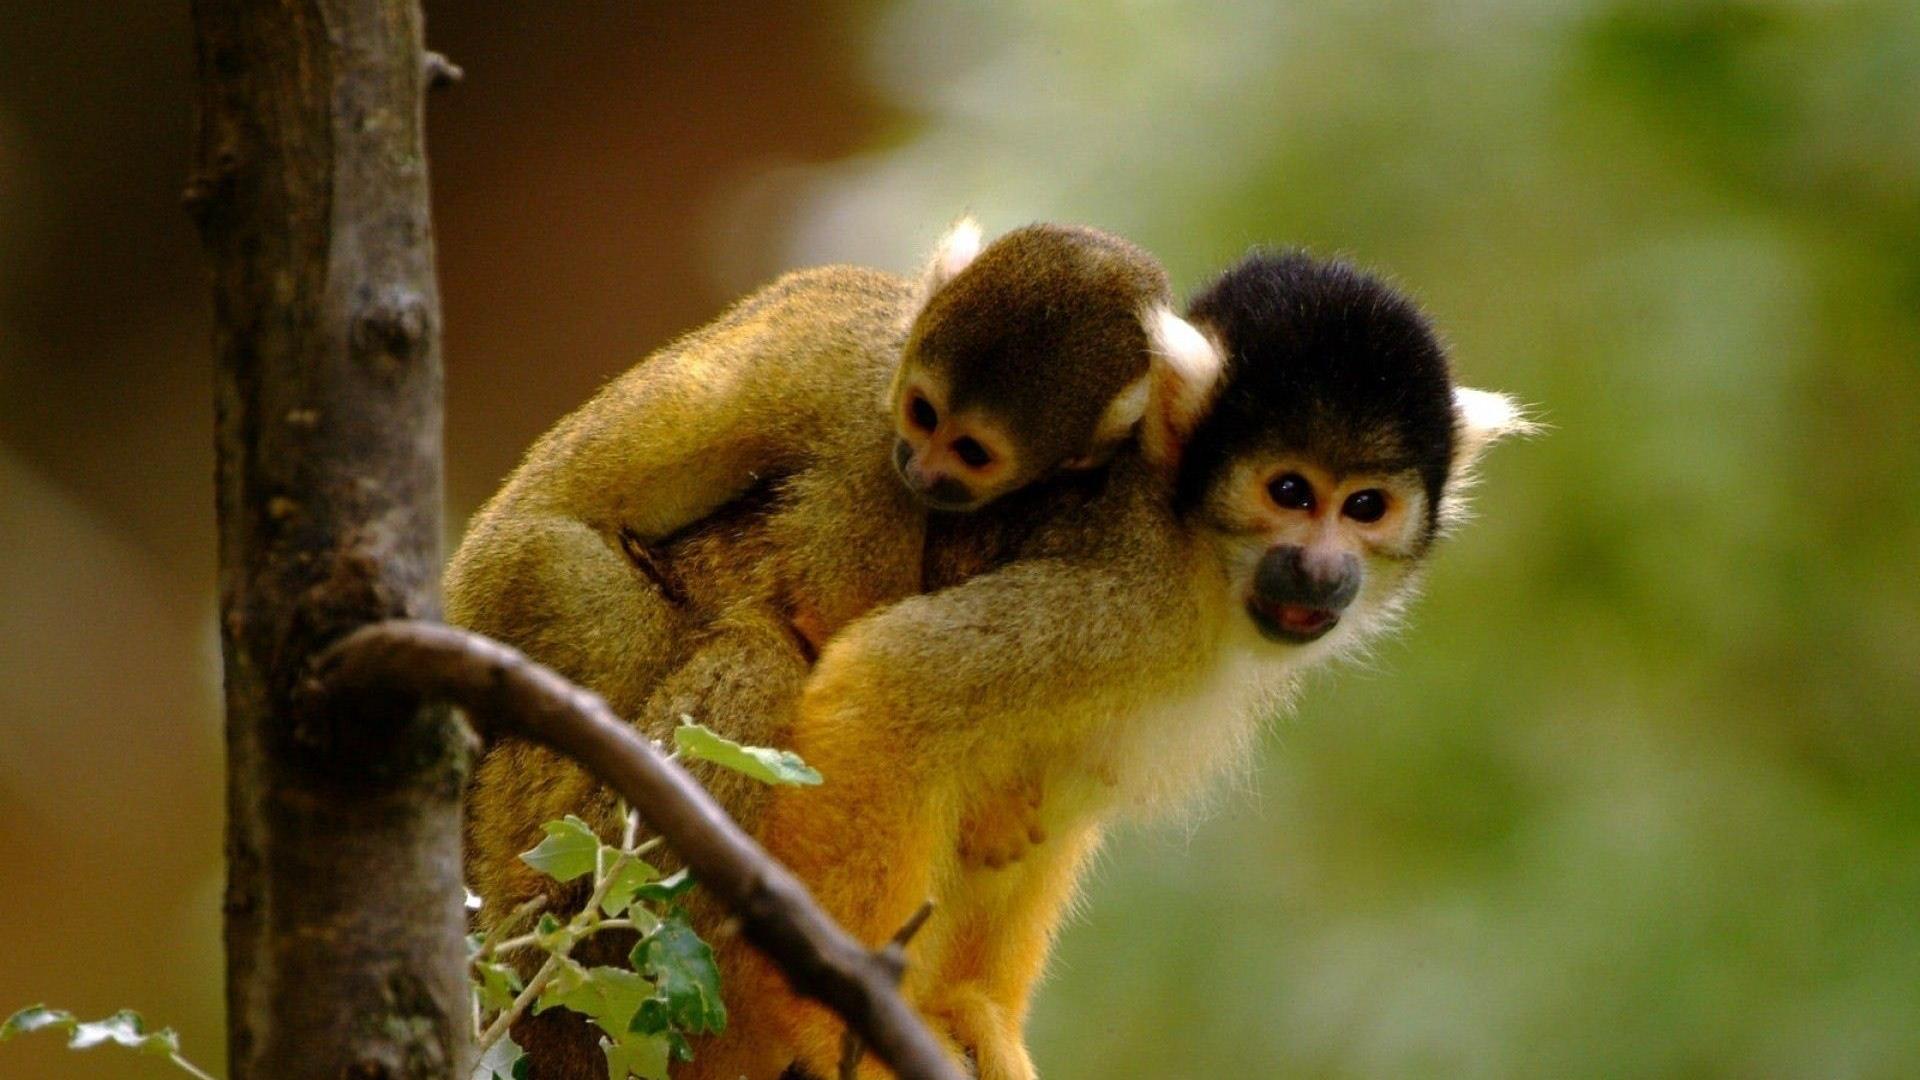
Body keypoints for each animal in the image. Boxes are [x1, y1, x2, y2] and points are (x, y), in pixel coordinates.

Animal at [445, 222, 1182, 1076]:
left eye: (972, 451)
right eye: (922, 414)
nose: (921, 464)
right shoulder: (868, 440)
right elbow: (844, 621)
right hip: (533, 602)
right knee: (732, 657)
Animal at [685, 251, 1531, 1080]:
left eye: (1364, 507)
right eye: (1290, 491)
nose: (1323, 571)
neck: (1196, 551)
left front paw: (975, 1014)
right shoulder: (1129, 602)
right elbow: (890, 683)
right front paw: (838, 1024)